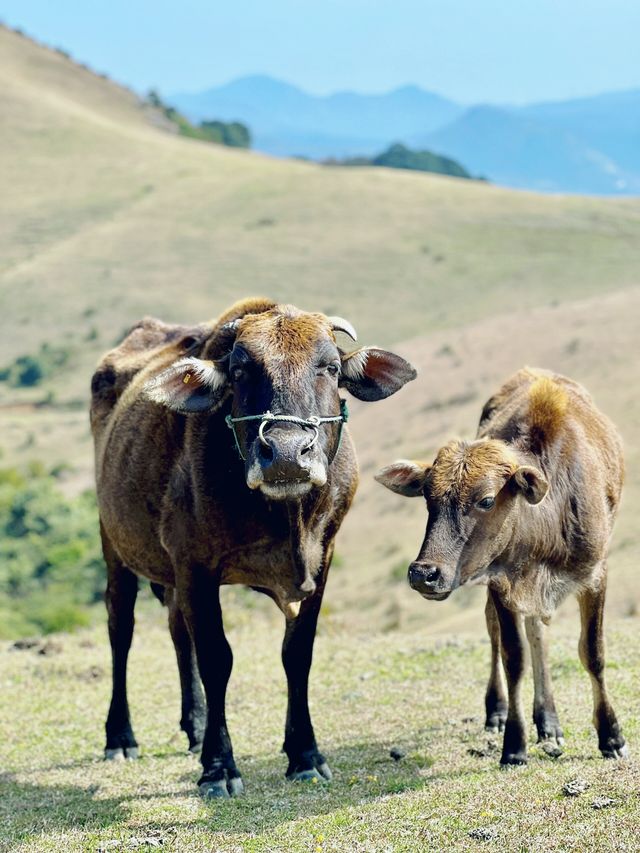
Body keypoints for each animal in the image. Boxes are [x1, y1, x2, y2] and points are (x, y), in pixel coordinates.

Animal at [92, 296, 418, 796]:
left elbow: (297, 654)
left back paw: (194, 725)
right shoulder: (196, 568)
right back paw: (121, 737)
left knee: (176, 630)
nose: (285, 454)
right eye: (242, 370)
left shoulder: (322, 560)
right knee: (120, 629)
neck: (286, 518)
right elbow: (217, 658)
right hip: (115, 546)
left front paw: (304, 754)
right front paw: (219, 766)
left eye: (329, 366)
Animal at [378, 366, 628, 764]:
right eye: (428, 498)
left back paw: (549, 722)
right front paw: (514, 743)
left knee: (538, 632)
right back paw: (503, 712)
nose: (423, 573)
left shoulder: (595, 575)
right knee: (502, 632)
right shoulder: (500, 584)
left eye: (486, 500)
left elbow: (593, 652)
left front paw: (611, 735)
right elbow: (514, 658)